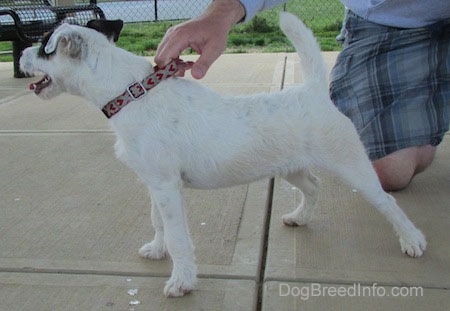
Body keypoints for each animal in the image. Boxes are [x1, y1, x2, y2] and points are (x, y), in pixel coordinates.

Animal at [20, 13, 426, 298]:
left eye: (43, 47)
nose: (21, 53)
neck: (131, 93)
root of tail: (313, 91)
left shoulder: (166, 187)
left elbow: (178, 236)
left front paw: (182, 281)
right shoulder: (154, 183)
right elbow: (157, 221)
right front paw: (156, 249)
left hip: (352, 165)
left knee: (387, 201)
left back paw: (412, 241)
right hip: (292, 167)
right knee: (312, 185)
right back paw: (299, 217)